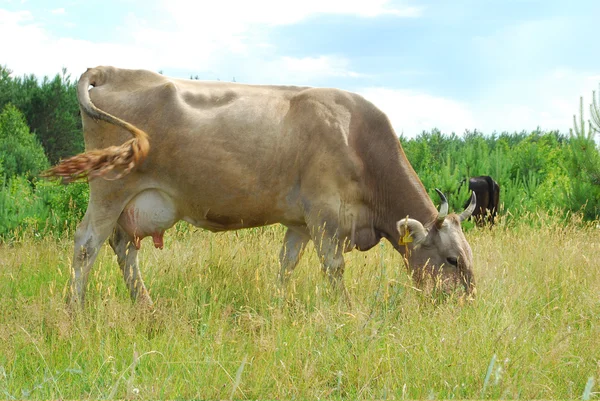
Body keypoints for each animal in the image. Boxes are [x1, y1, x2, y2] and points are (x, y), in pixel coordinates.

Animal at [45, 66, 478, 310]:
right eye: (452, 260)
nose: (468, 304)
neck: (357, 137)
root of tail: (109, 69)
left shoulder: (300, 223)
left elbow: (286, 265)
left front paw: (279, 305)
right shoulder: (324, 214)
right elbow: (334, 268)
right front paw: (347, 310)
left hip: (130, 204)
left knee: (122, 248)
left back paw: (145, 307)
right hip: (110, 189)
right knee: (86, 245)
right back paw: (74, 311)